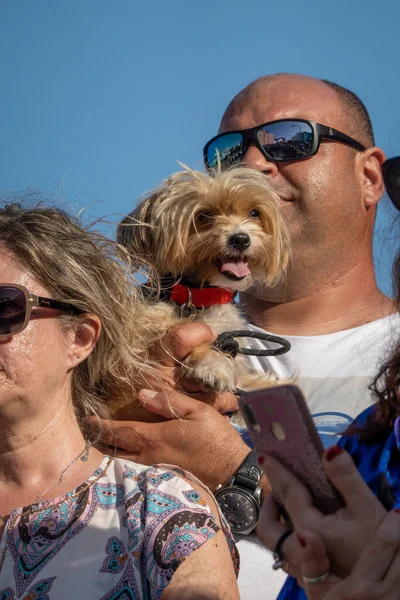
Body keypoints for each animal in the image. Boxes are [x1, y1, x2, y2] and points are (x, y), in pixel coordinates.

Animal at [119, 164, 290, 398]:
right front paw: (214, 363)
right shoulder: (140, 332)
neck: (198, 296)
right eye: (204, 215)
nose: (241, 239)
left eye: (254, 213)